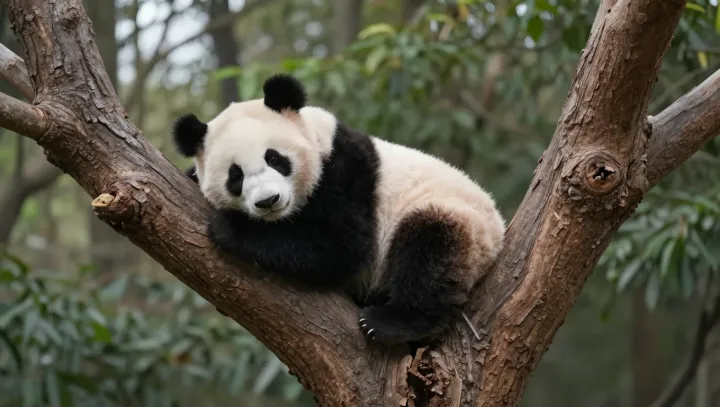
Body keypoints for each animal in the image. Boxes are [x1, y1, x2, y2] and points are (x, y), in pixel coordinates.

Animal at [172, 74, 505, 345]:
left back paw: (389, 322)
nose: (268, 201)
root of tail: (499, 239)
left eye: (275, 158)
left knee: (431, 250)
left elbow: (337, 247)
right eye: (235, 176)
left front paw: (229, 226)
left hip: (461, 221)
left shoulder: (346, 172)